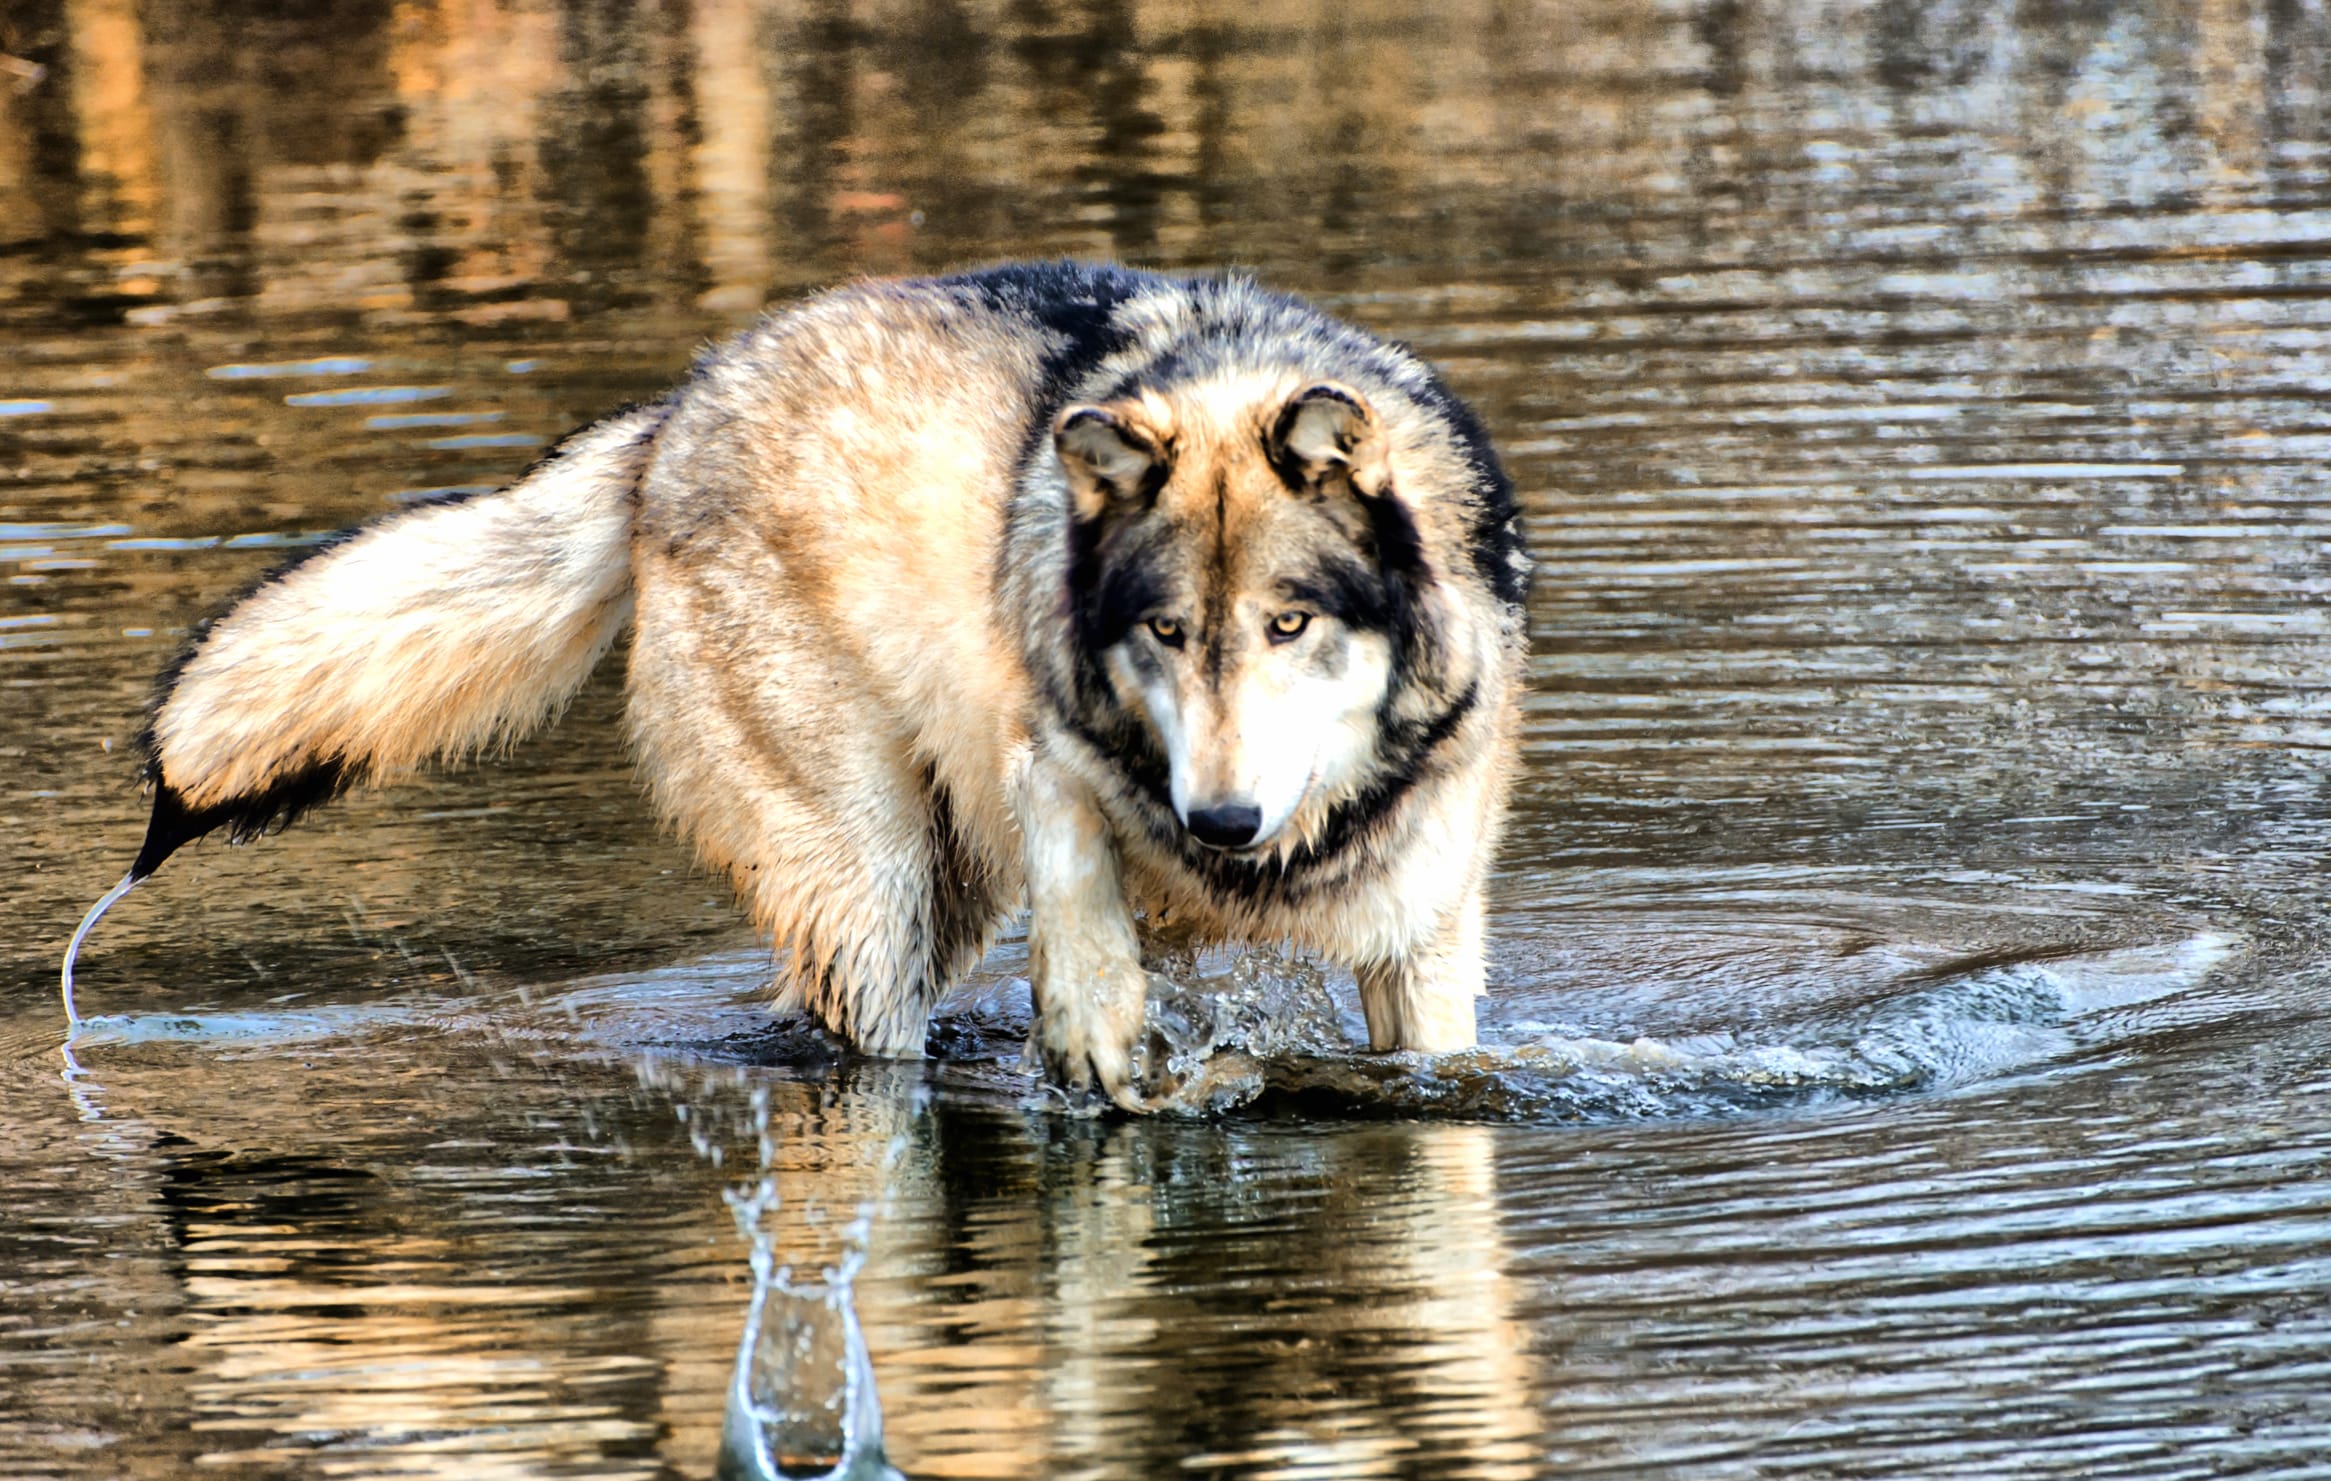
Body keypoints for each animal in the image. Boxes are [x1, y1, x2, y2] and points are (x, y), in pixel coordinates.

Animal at [86, 261, 1529, 1105]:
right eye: (1167, 632)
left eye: (1287, 623)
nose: (1218, 820)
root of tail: (673, 413)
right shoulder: (1044, 752)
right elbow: (1080, 882)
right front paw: (1100, 1033)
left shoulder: (1424, 940)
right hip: (876, 886)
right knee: (865, 1038)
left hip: (932, 893)